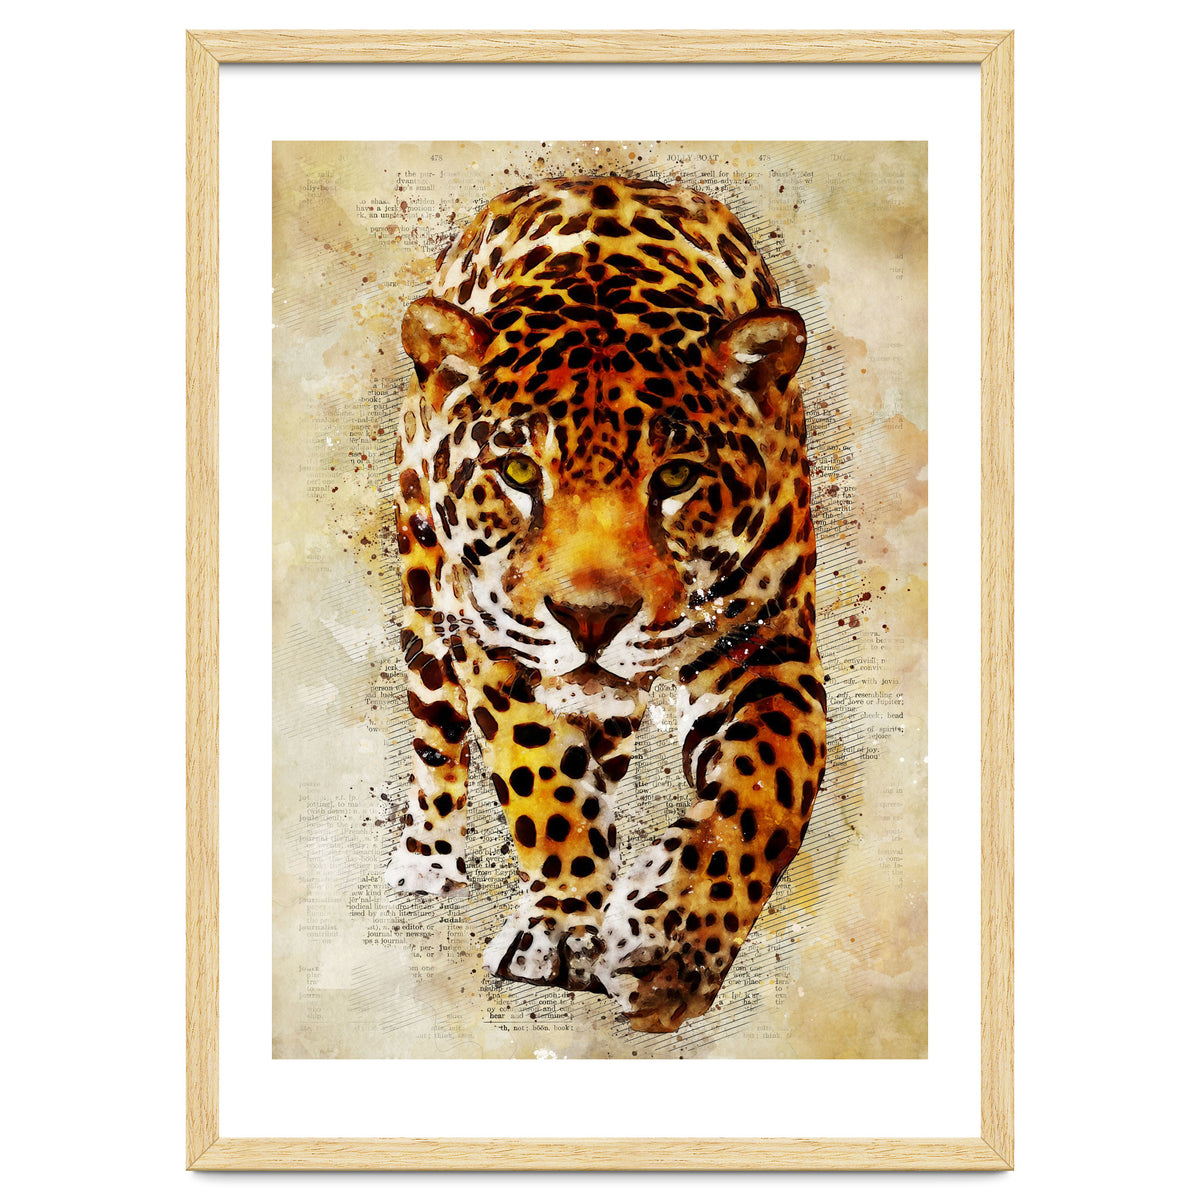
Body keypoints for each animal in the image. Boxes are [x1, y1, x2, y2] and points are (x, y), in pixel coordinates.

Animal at [384, 175, 826, 1033]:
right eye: (519, 472)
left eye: (677, 476)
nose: (591, 619)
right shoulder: (497, 640)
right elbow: (540, 774)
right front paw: (562, 928)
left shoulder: (769, 644)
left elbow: (767, 790)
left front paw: (668, 944)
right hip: (426, 599)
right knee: (436, 733)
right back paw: (427, 860)